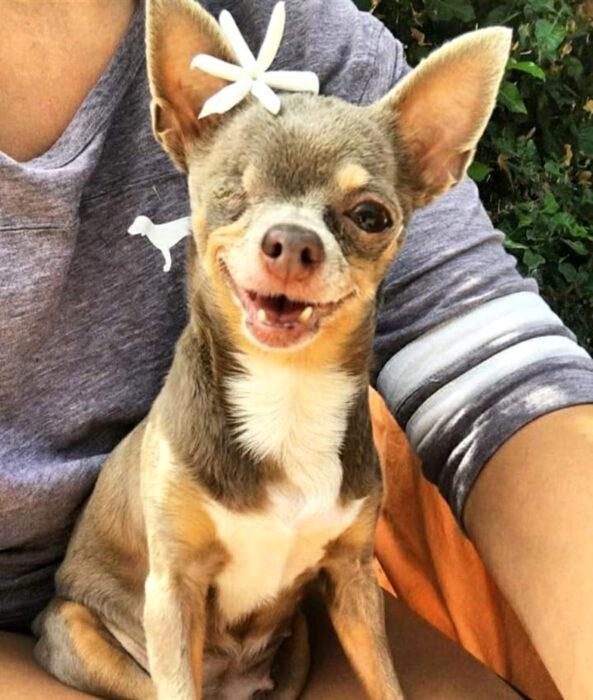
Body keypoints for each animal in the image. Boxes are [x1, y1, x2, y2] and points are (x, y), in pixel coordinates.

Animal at [32, 1, 508, 700]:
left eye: (371, 217)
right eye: (231, 192)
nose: (292, 241)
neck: (288, 389)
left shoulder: (353, 580)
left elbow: (384, 680)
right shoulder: (171, 589)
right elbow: (176, 675)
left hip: (301, 641)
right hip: (79, 630)